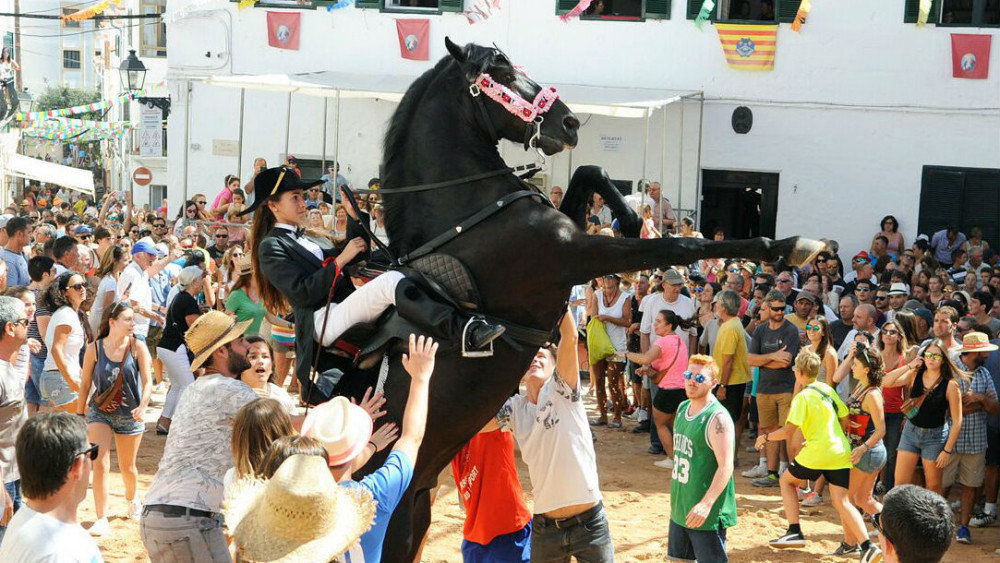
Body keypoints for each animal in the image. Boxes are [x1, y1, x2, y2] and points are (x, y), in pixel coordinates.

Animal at [368, 37, 820, 560]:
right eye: (501, 71)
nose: (567, 121)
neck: (465, 216)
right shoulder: (570, 255)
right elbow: (681, 245)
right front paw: (788, 244)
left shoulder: (570, 245)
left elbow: (591, 171)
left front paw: (633, 215)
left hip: (417, 508)